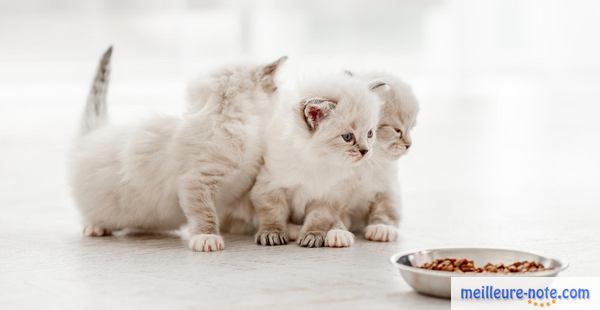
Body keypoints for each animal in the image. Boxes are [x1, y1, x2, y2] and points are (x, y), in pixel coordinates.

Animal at [69, 47, 286, 252]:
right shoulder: (195, 181)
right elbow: (204, 212)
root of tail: (93, 134)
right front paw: (206, 237)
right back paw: (96, 226)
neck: (227, 120)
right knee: (91, 214)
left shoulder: (245, 181)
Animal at [251, 74, 382, 248]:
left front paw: (312, 236)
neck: (317, 159)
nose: (365, 151)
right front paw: (272, 233)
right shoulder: (269, 186)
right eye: (347, 137)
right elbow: (273, 213)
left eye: (370, 134)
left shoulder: (328, 195)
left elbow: (318, 218)